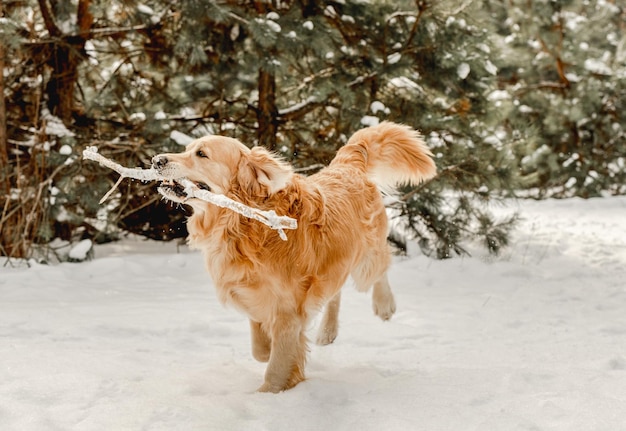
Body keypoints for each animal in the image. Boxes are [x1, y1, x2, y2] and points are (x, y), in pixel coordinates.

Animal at [152, 122, 434, 394]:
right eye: (187, 149)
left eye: (201, 154)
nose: (156, 160)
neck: (243, 225)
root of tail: (347, 166)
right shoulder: (253, 295)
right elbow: (260, 348)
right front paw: (273, 354)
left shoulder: (288, 311)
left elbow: (276, 368)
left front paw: (271, 394)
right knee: (334, 292)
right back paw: (327, 331)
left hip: (367, 260)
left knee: (381, 267)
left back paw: (384, 305)